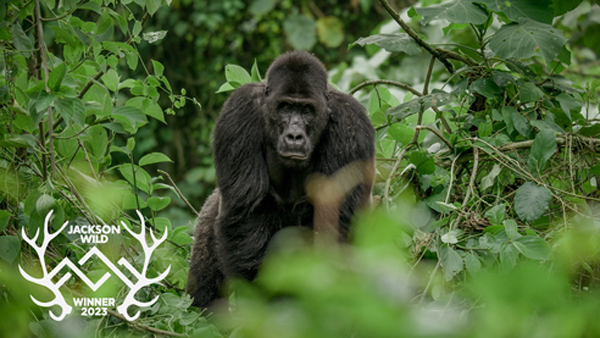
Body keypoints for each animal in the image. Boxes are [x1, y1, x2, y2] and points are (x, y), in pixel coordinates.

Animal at [188, 50, 376, 308]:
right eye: (286, 107)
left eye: (306, 110)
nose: (294, 136)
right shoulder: (239, 110)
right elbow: (247, 210)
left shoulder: (351, 122)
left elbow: (336, 219)